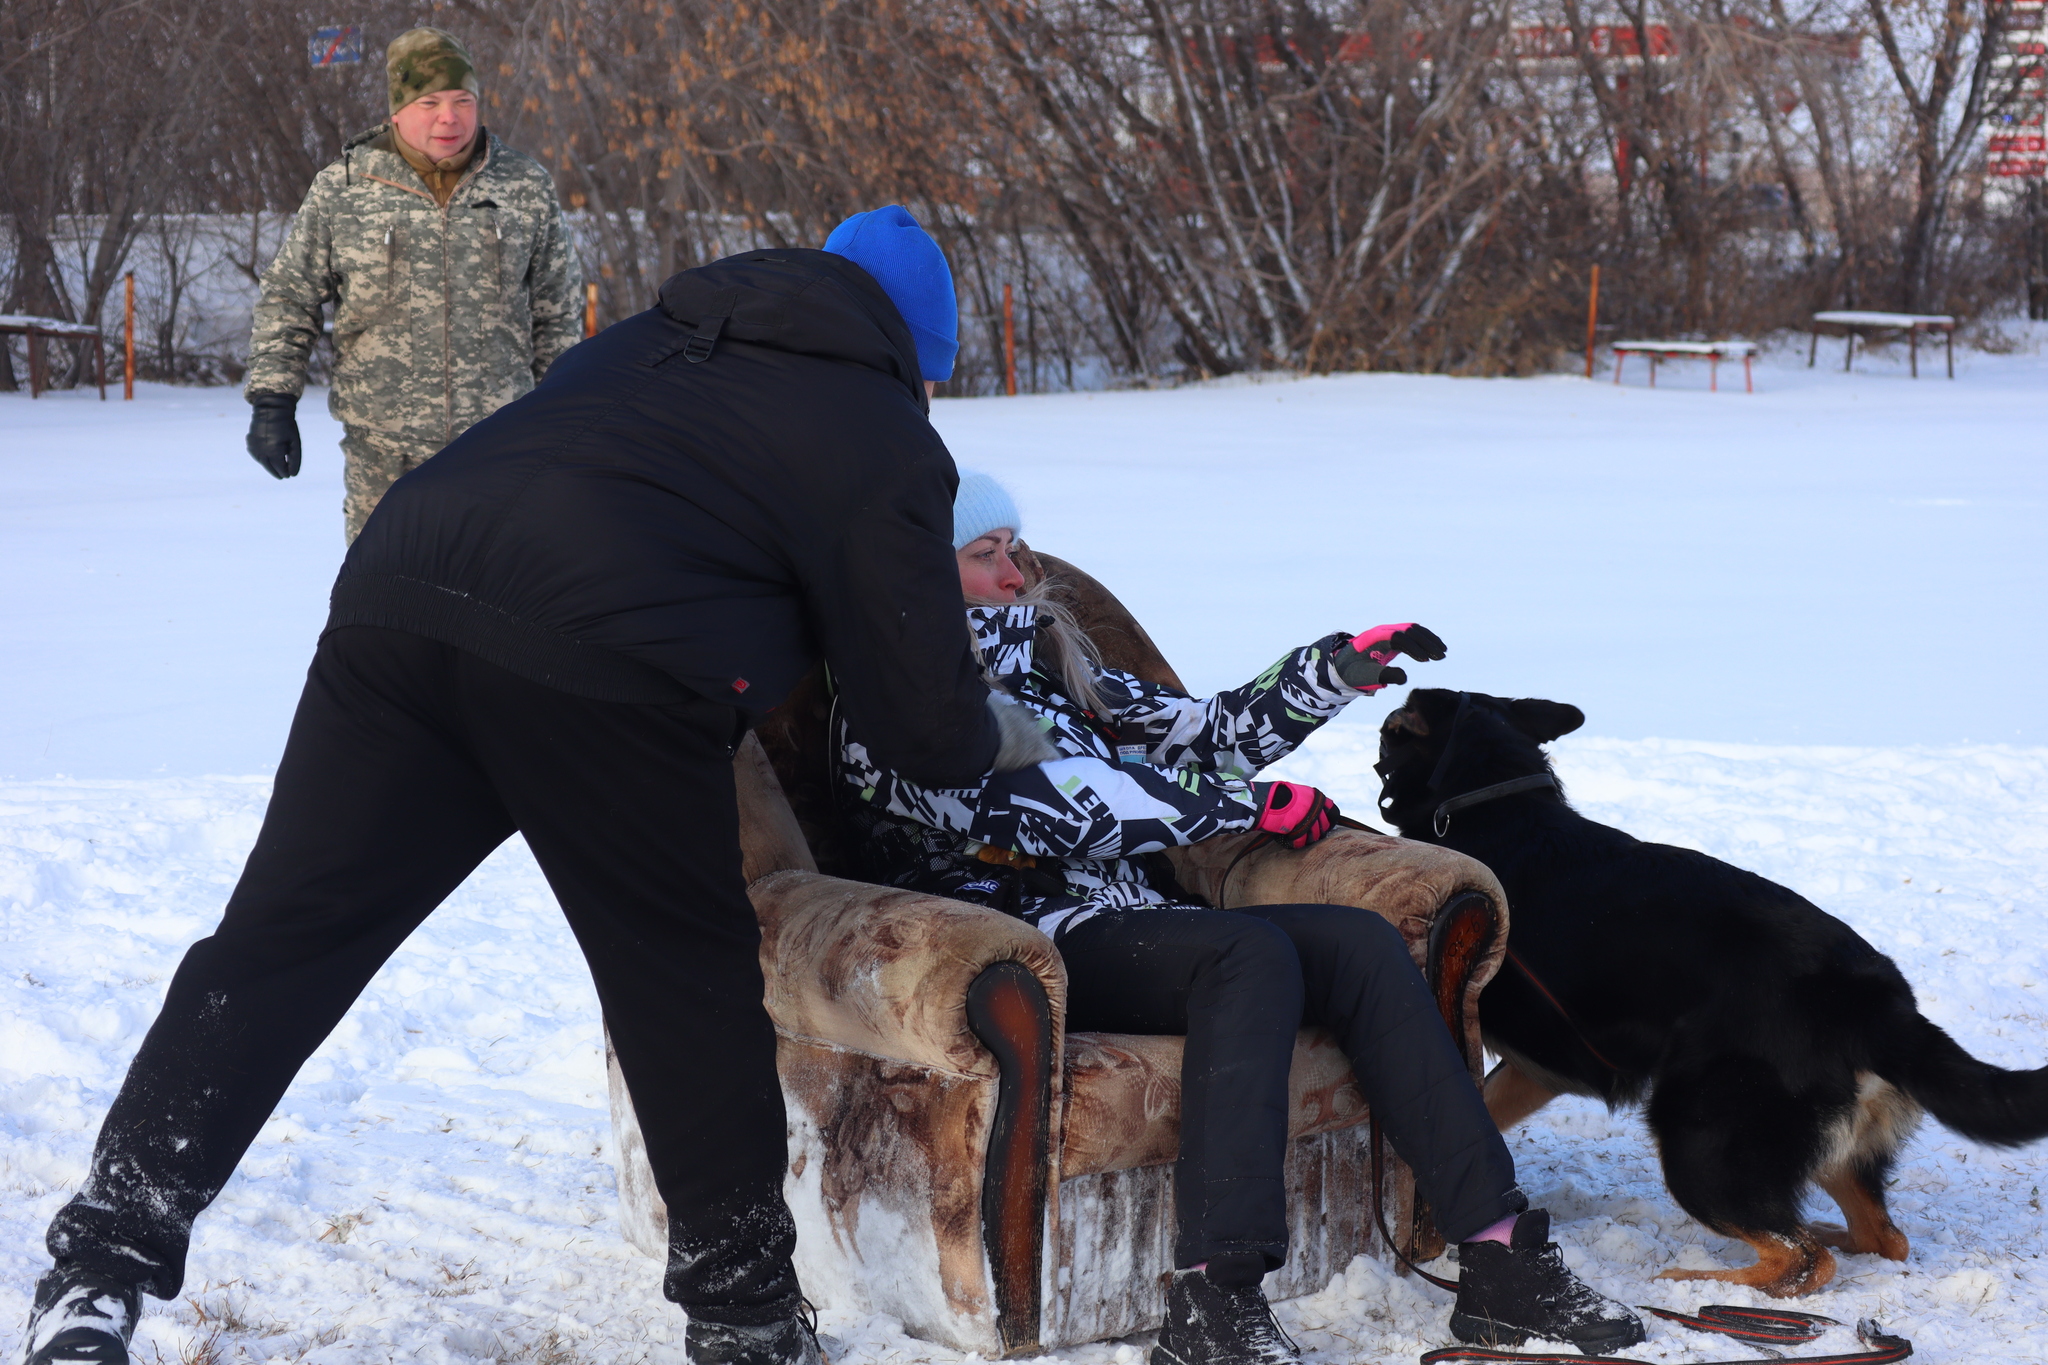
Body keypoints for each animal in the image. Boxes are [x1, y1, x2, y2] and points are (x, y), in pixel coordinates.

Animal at [1376, 687, 2048, 1301]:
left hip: (1699, 1138)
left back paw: (1691, 1282)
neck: (1496, 803)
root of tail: (1876, 1002)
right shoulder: (1541, 1069)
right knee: (1878, 1238)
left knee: (1800, 1259)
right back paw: (1822, 1235)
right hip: (1814, 1150)